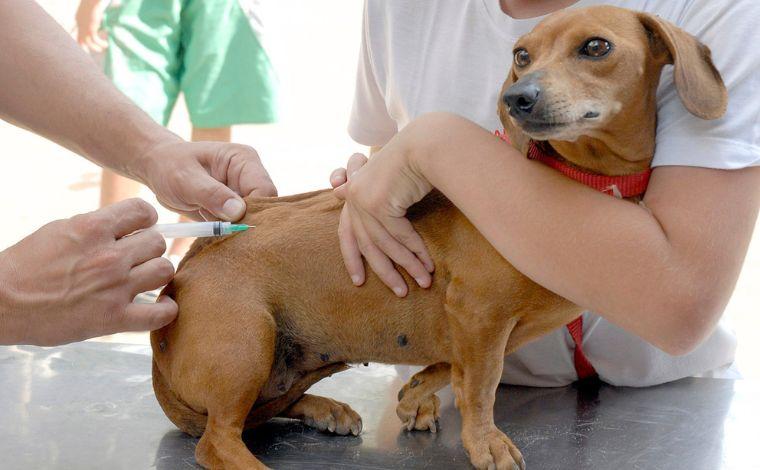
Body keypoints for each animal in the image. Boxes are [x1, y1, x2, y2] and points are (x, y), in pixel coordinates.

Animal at [148, 6, 724, 470]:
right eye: (521, 54)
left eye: (597, 47)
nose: (517, 97)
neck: (573, 181)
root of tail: (185, 269)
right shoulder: (480, 313)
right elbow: (481, 387)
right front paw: (485, 442)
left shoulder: (487, 327)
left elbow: (456, 368)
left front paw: (417, 393)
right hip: (248, 345)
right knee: (219, 440)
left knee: (262, 412)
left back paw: (324, 408)